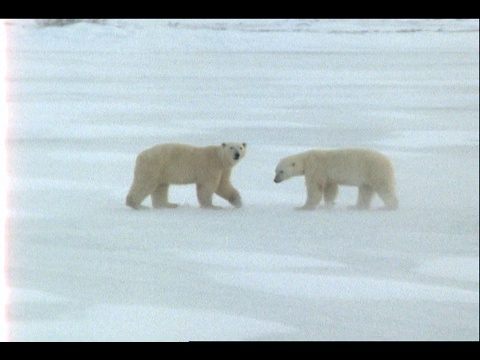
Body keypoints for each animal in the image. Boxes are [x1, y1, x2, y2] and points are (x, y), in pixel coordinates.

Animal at [272, 148, 400, 211]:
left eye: (281, 171)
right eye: (275, 170)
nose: (275, 180)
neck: (306, 159)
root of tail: (389, 162)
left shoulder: (316, 167)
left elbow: (315, 187)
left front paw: (303, 207)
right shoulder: (327, 176)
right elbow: (330, 188)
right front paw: (328, 204)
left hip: (375, 170)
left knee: (384, 189)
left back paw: (388, 206)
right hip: (368, 175)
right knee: (365, 190)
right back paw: (356, 206)